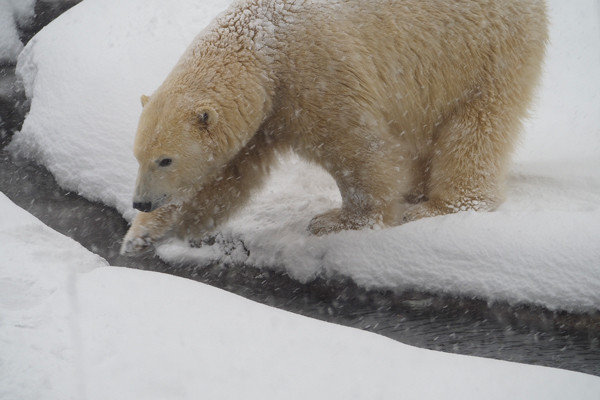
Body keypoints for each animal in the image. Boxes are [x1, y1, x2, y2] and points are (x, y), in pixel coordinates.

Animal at [120, 0, 548, 256]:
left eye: (165, 160)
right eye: (138, 156)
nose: (140, 202)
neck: (263, 44)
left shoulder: (317, 74)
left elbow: (355, 149)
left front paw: (335, 222)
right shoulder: (267, 112)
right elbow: (224, 179)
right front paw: (141, 236)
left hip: (483, 49)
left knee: (474, 126)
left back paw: (440, 206)